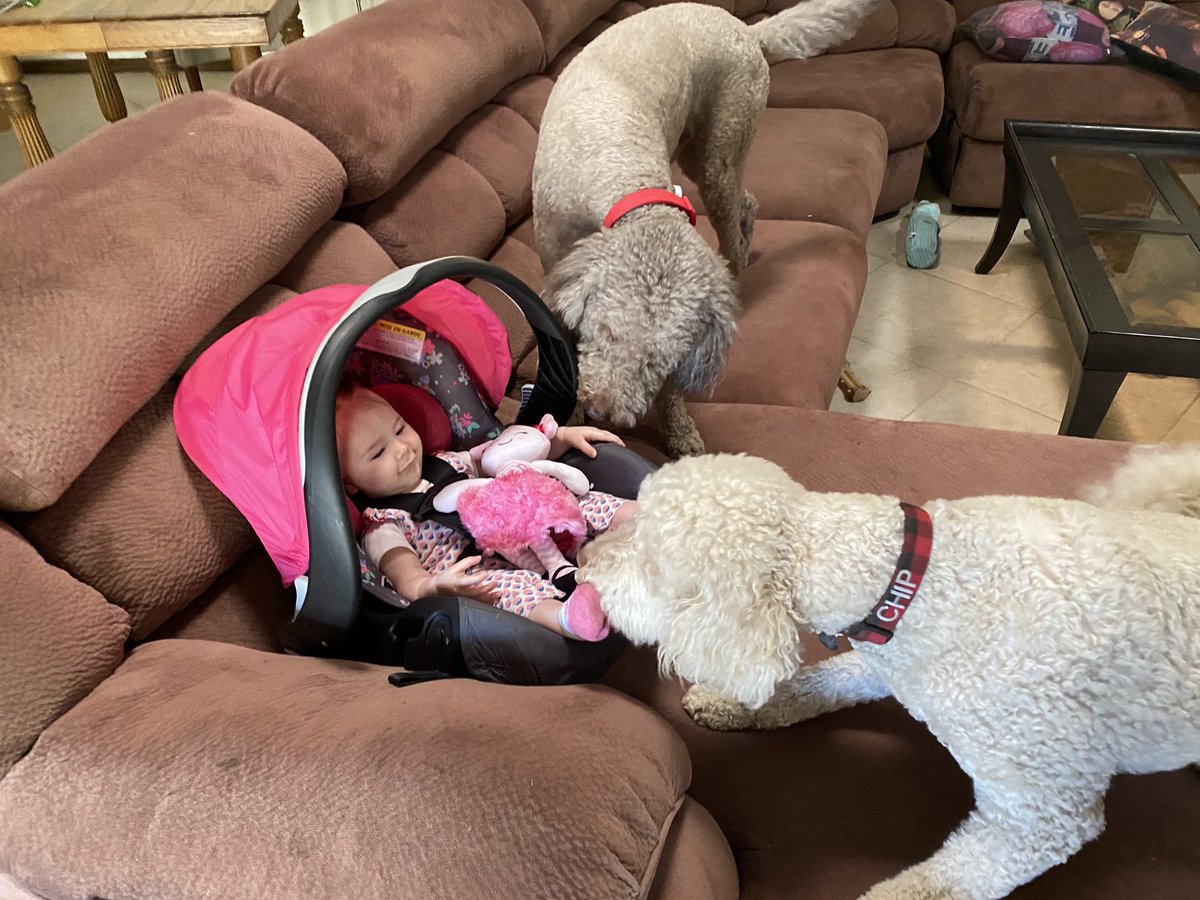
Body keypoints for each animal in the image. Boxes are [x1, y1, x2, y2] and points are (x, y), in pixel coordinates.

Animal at [532, 0, 881, 458]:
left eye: (658, 362)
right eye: (605, 334)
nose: (601, 410)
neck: (620, 171)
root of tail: (748, 31)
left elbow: (671, 392)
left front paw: (679, 431)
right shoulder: (555, 269)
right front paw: (567, 418)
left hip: (722, 148)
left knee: (736, 218)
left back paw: (737, 268)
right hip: (706, 153)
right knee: (745, 206)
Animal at [578, 446, 1200, 899]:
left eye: (650, 562)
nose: (583, 559)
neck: (910, 577)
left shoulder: (1041, 812)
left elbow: (950, 879)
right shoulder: (887, 660)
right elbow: (814, 684)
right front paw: (734, 705)